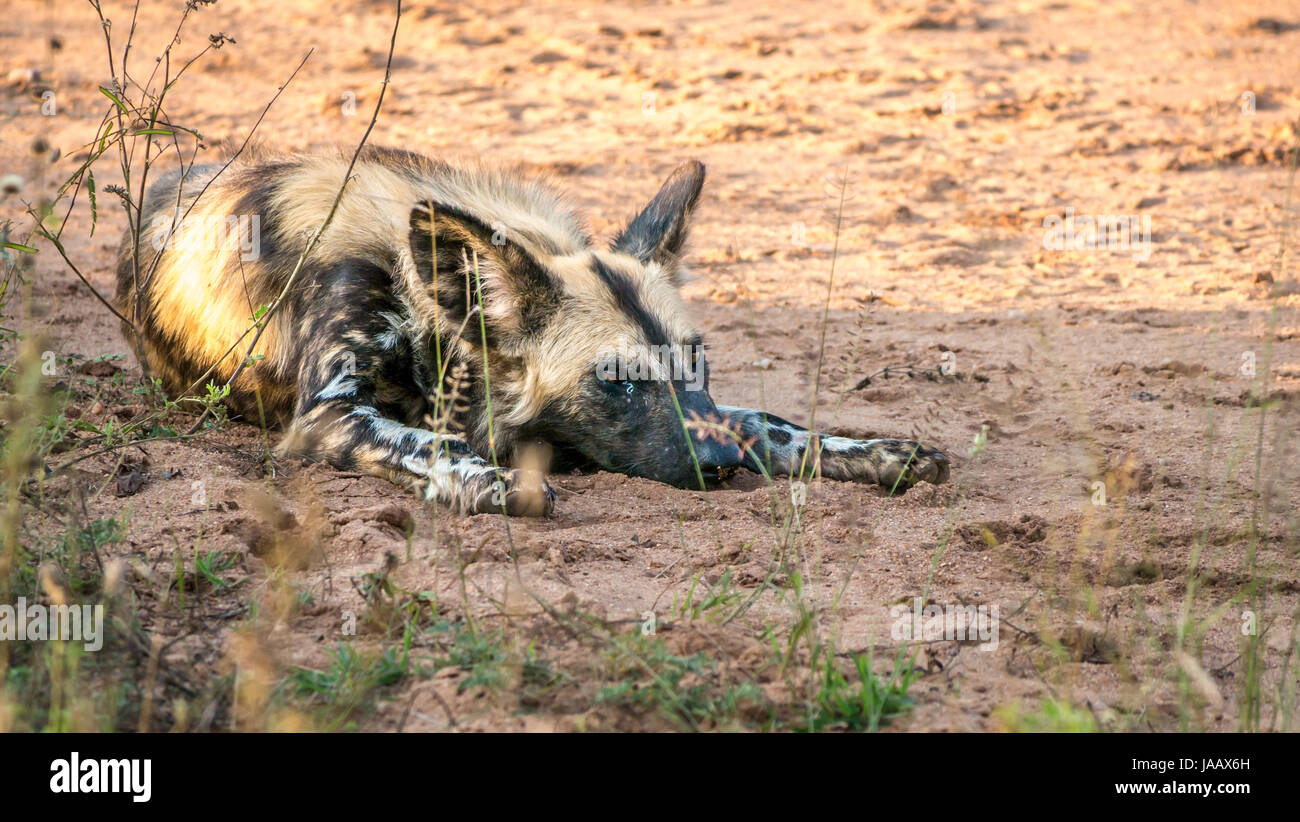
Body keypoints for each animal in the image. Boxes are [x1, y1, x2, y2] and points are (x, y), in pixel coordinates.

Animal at [116, 144, 951, 509]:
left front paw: (877, 454)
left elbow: (763, 422)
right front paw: (492, 483)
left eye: (697, 363)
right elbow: (431, 444)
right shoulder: (328, 416)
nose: (720, 467)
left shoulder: (713, 411)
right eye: (614, 382)